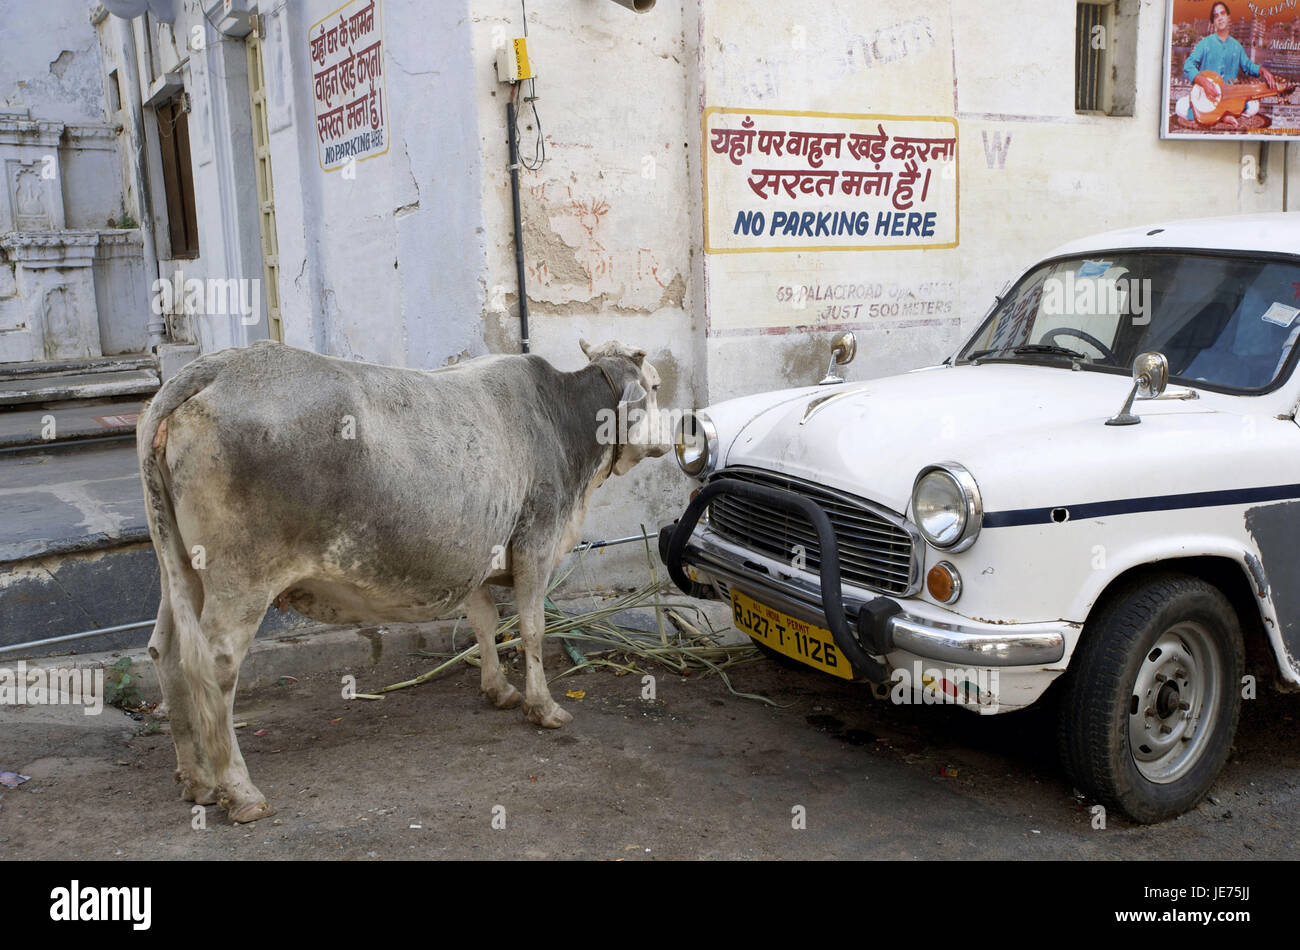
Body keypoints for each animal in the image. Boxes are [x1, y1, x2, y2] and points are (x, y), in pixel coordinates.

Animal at [138, 343, 670, 826]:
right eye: (656, 387)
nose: (674, 432)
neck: (562, 421)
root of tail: (214, 367)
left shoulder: (477, 551)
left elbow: (484, 622)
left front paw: (498, 690)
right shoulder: (536, 542)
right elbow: (532, 629)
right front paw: (544, 707)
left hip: (179, 567)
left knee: (167, 651)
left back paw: (197, 781)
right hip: (241, 576)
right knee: (216, 663)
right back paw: (239, 791)